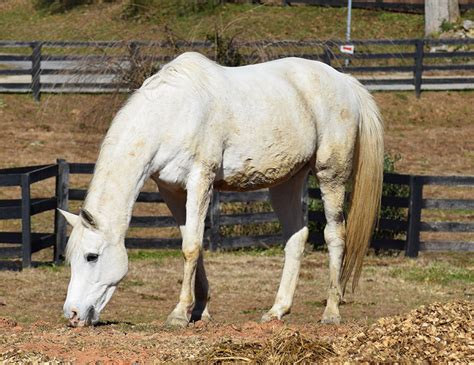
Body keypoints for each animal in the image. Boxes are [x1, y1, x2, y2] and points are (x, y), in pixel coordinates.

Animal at [59, 51, 386, 328]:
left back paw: (331, 312)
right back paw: (277, 310)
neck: (173, 113)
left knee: (334, 236)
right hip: (288, 182)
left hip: (331, 175)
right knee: (296, 238)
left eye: (91, 256)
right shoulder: (172, 191)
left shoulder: (200, 181)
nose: (72, 314)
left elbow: (191, 247)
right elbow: (192, 243)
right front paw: (200, 310)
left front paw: (179, 314)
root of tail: (344, 81)